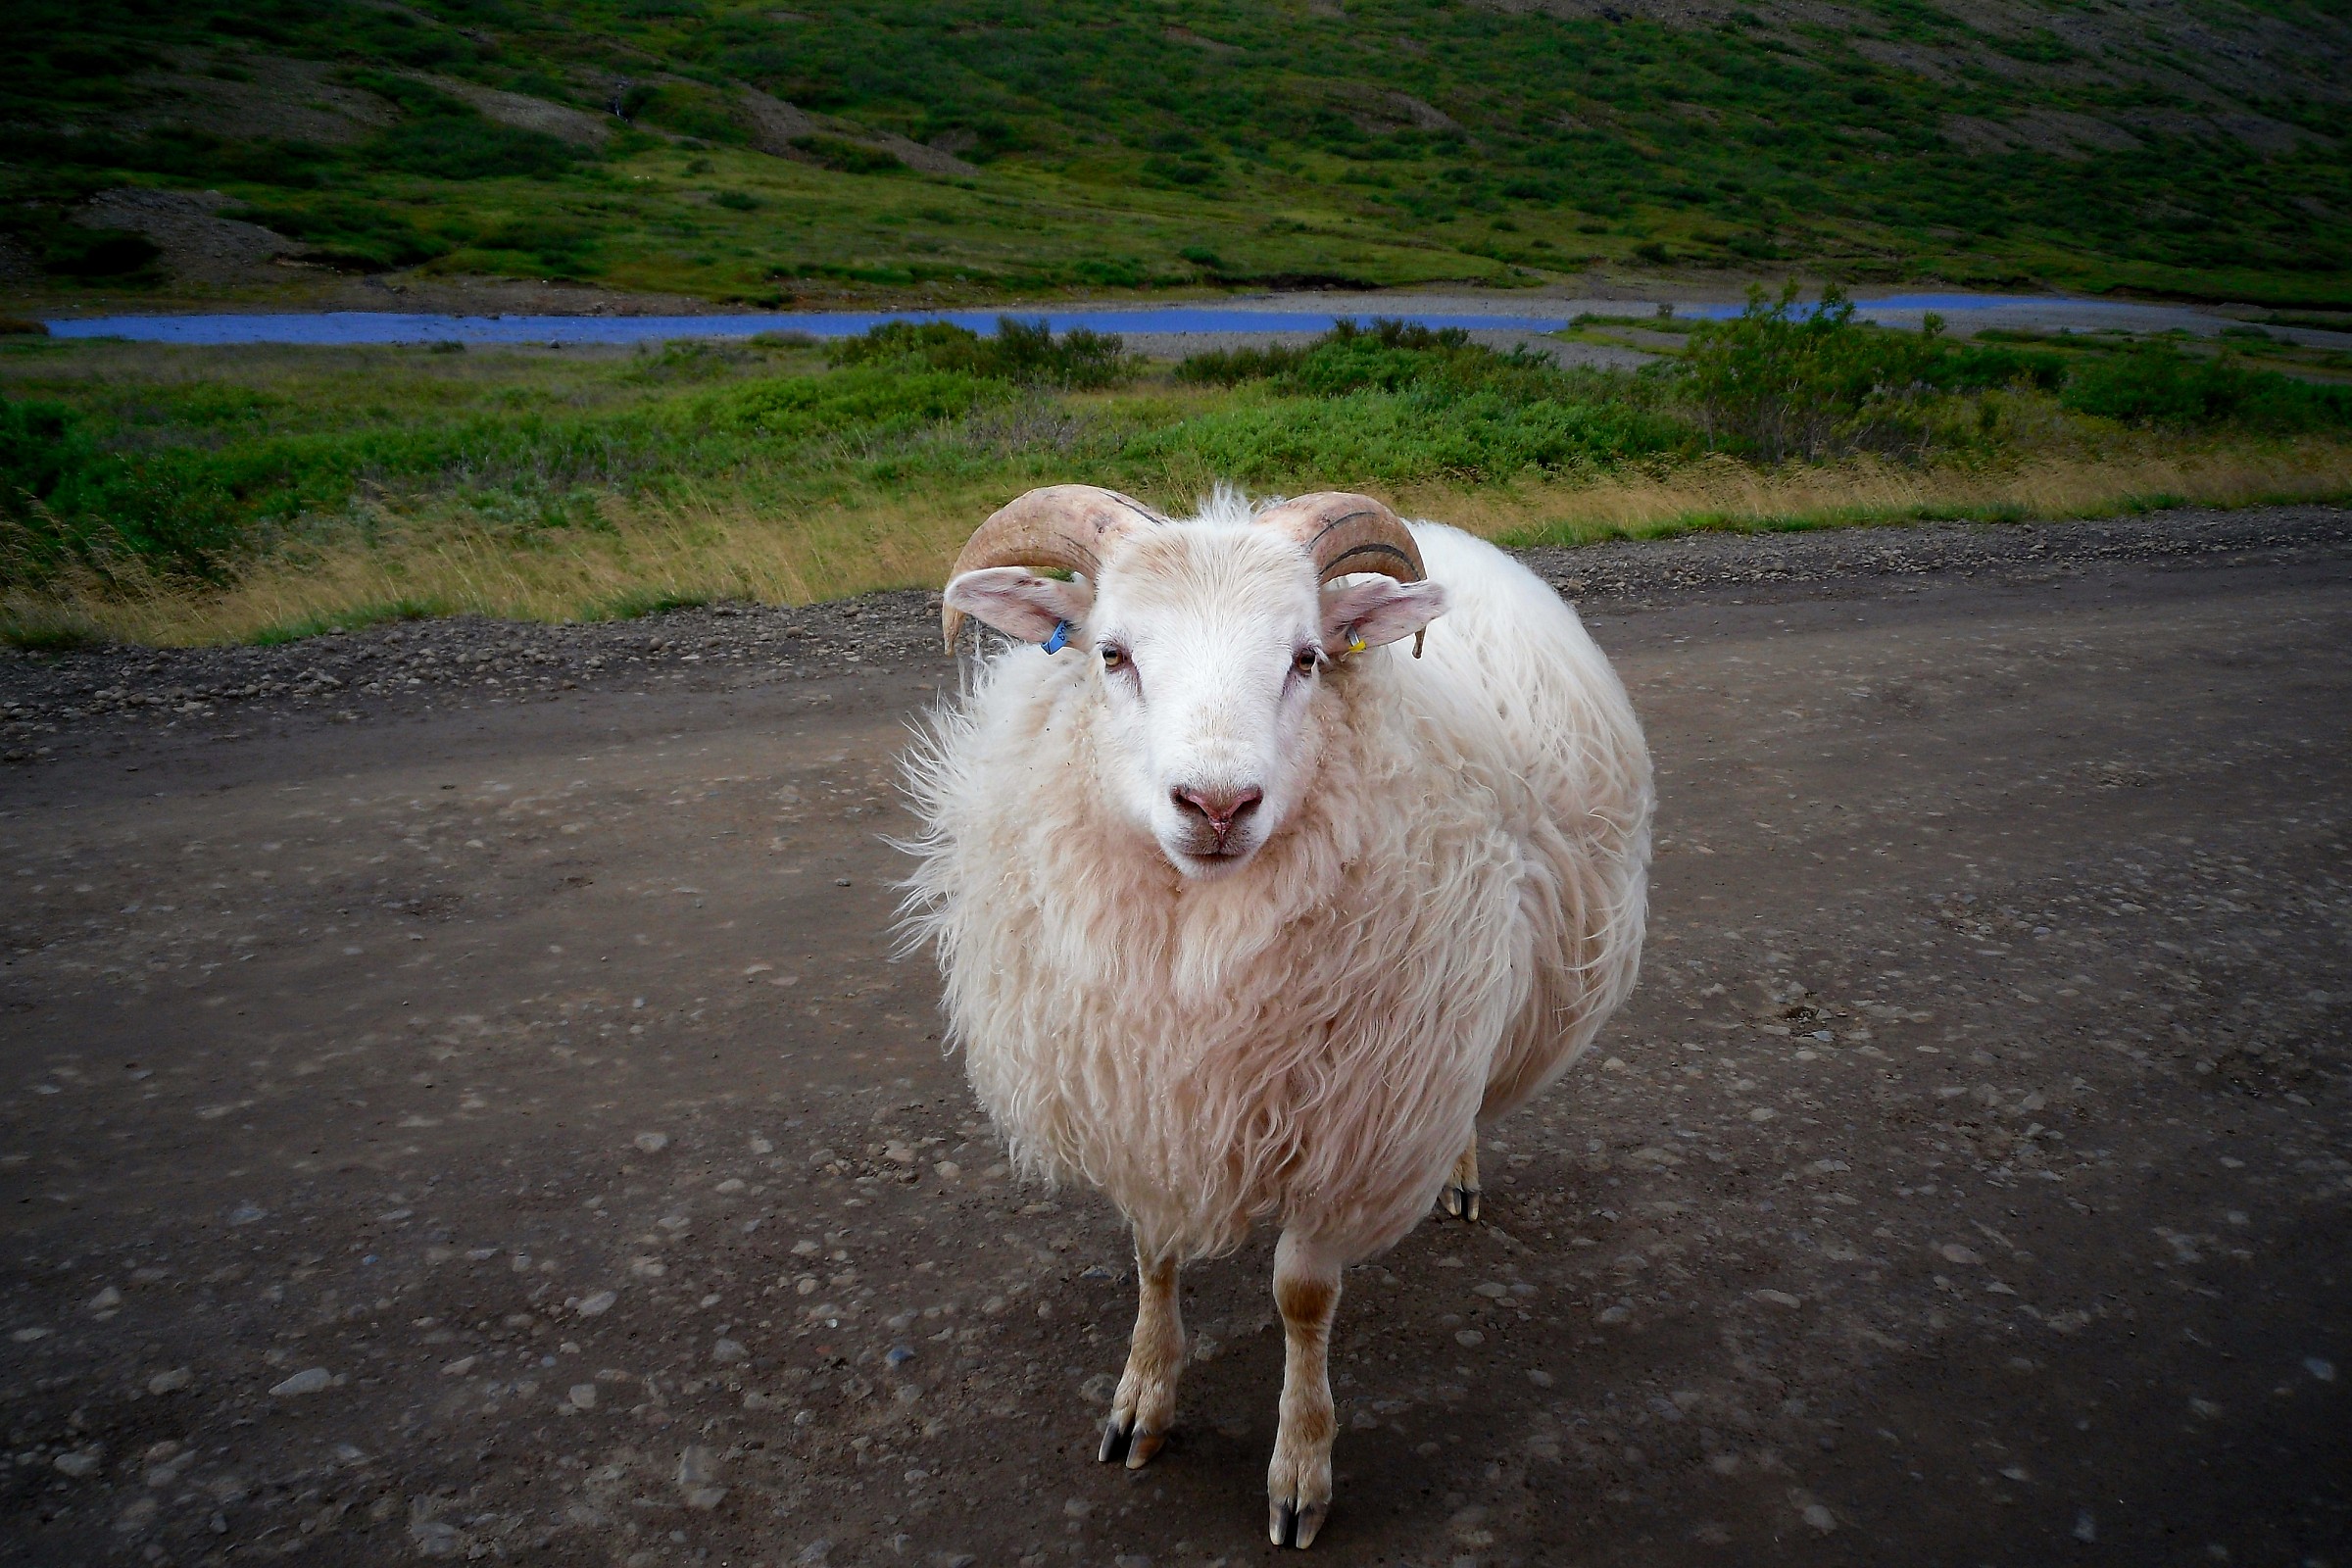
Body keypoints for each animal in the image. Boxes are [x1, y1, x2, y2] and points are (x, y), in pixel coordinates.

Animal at [900, 485, 1651, 1547]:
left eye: (1305, 657)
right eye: (1111, 653)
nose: (1217, 805)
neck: (1202, 938)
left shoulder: (1357, 1120)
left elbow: (1301, 1297)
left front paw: (1300, 1467)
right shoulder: (1147, 1101)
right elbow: (1153, 1255)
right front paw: (1143, 1398)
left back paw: (1461, 1173)